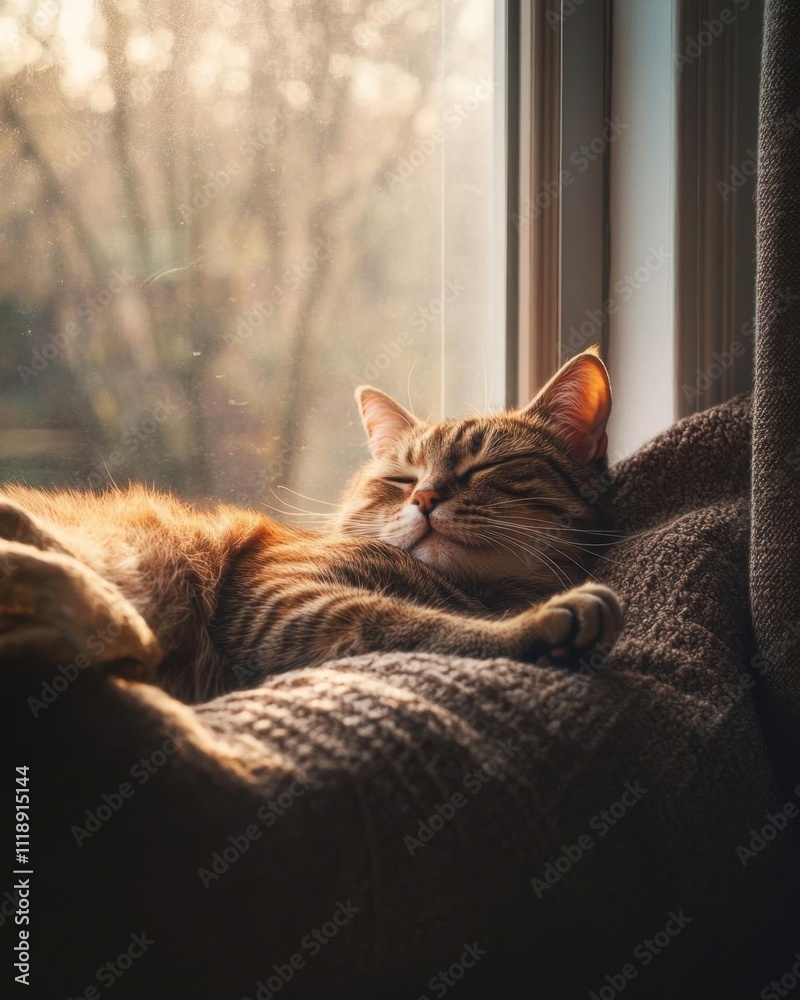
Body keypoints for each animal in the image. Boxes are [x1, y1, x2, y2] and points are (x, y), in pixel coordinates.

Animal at [0, 348, 620, 700]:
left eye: (486, 467)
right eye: (400, 478)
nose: (422, 498)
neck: (472, 589)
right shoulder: (286, 598)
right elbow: (421, 625)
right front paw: (541, 621)